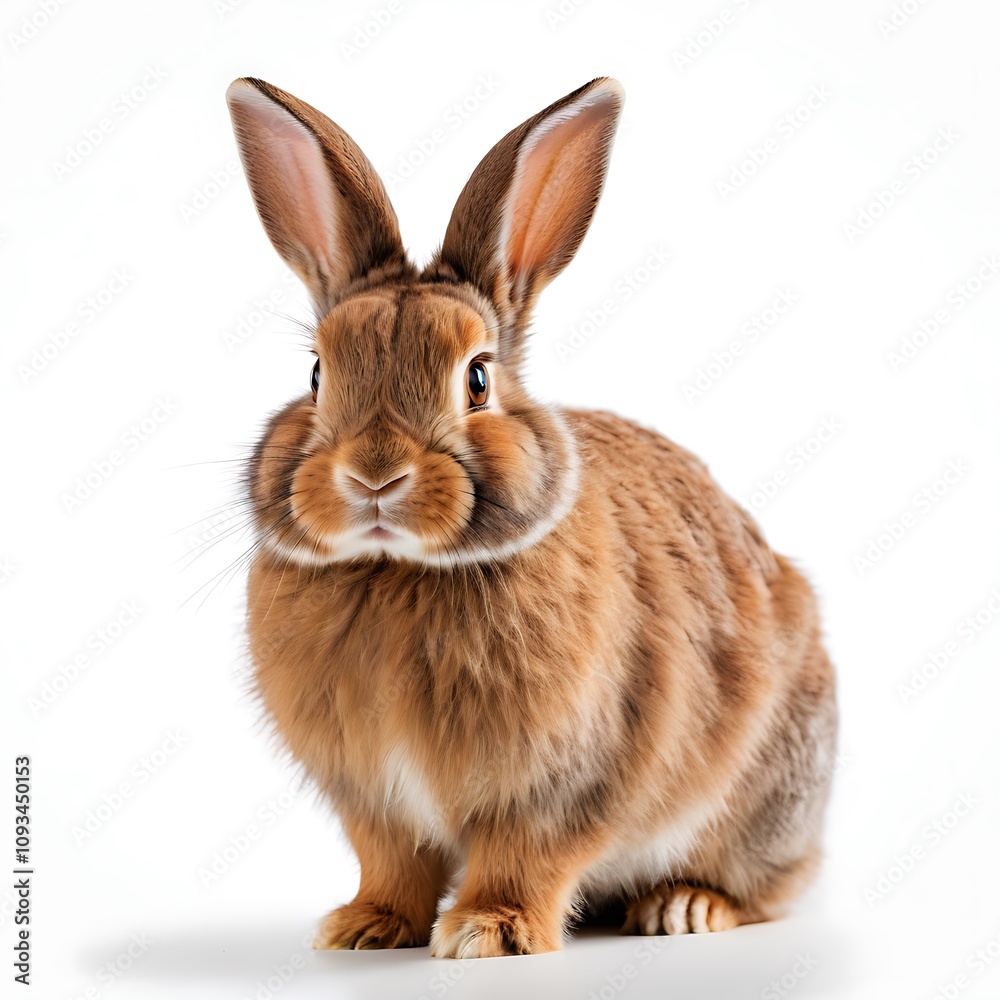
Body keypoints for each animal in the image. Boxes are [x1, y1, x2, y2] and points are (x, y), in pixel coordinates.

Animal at [226, 75, 837, 959]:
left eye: (478, 378)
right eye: (316, 374)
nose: (374, 475)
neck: (399, 570)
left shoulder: (562, 782)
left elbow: (526, 856)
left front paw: (488, 932)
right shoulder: (373, 800)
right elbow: (392, 861)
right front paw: (365, 927)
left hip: (766, 794)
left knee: (766, 886)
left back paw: (685, 907)